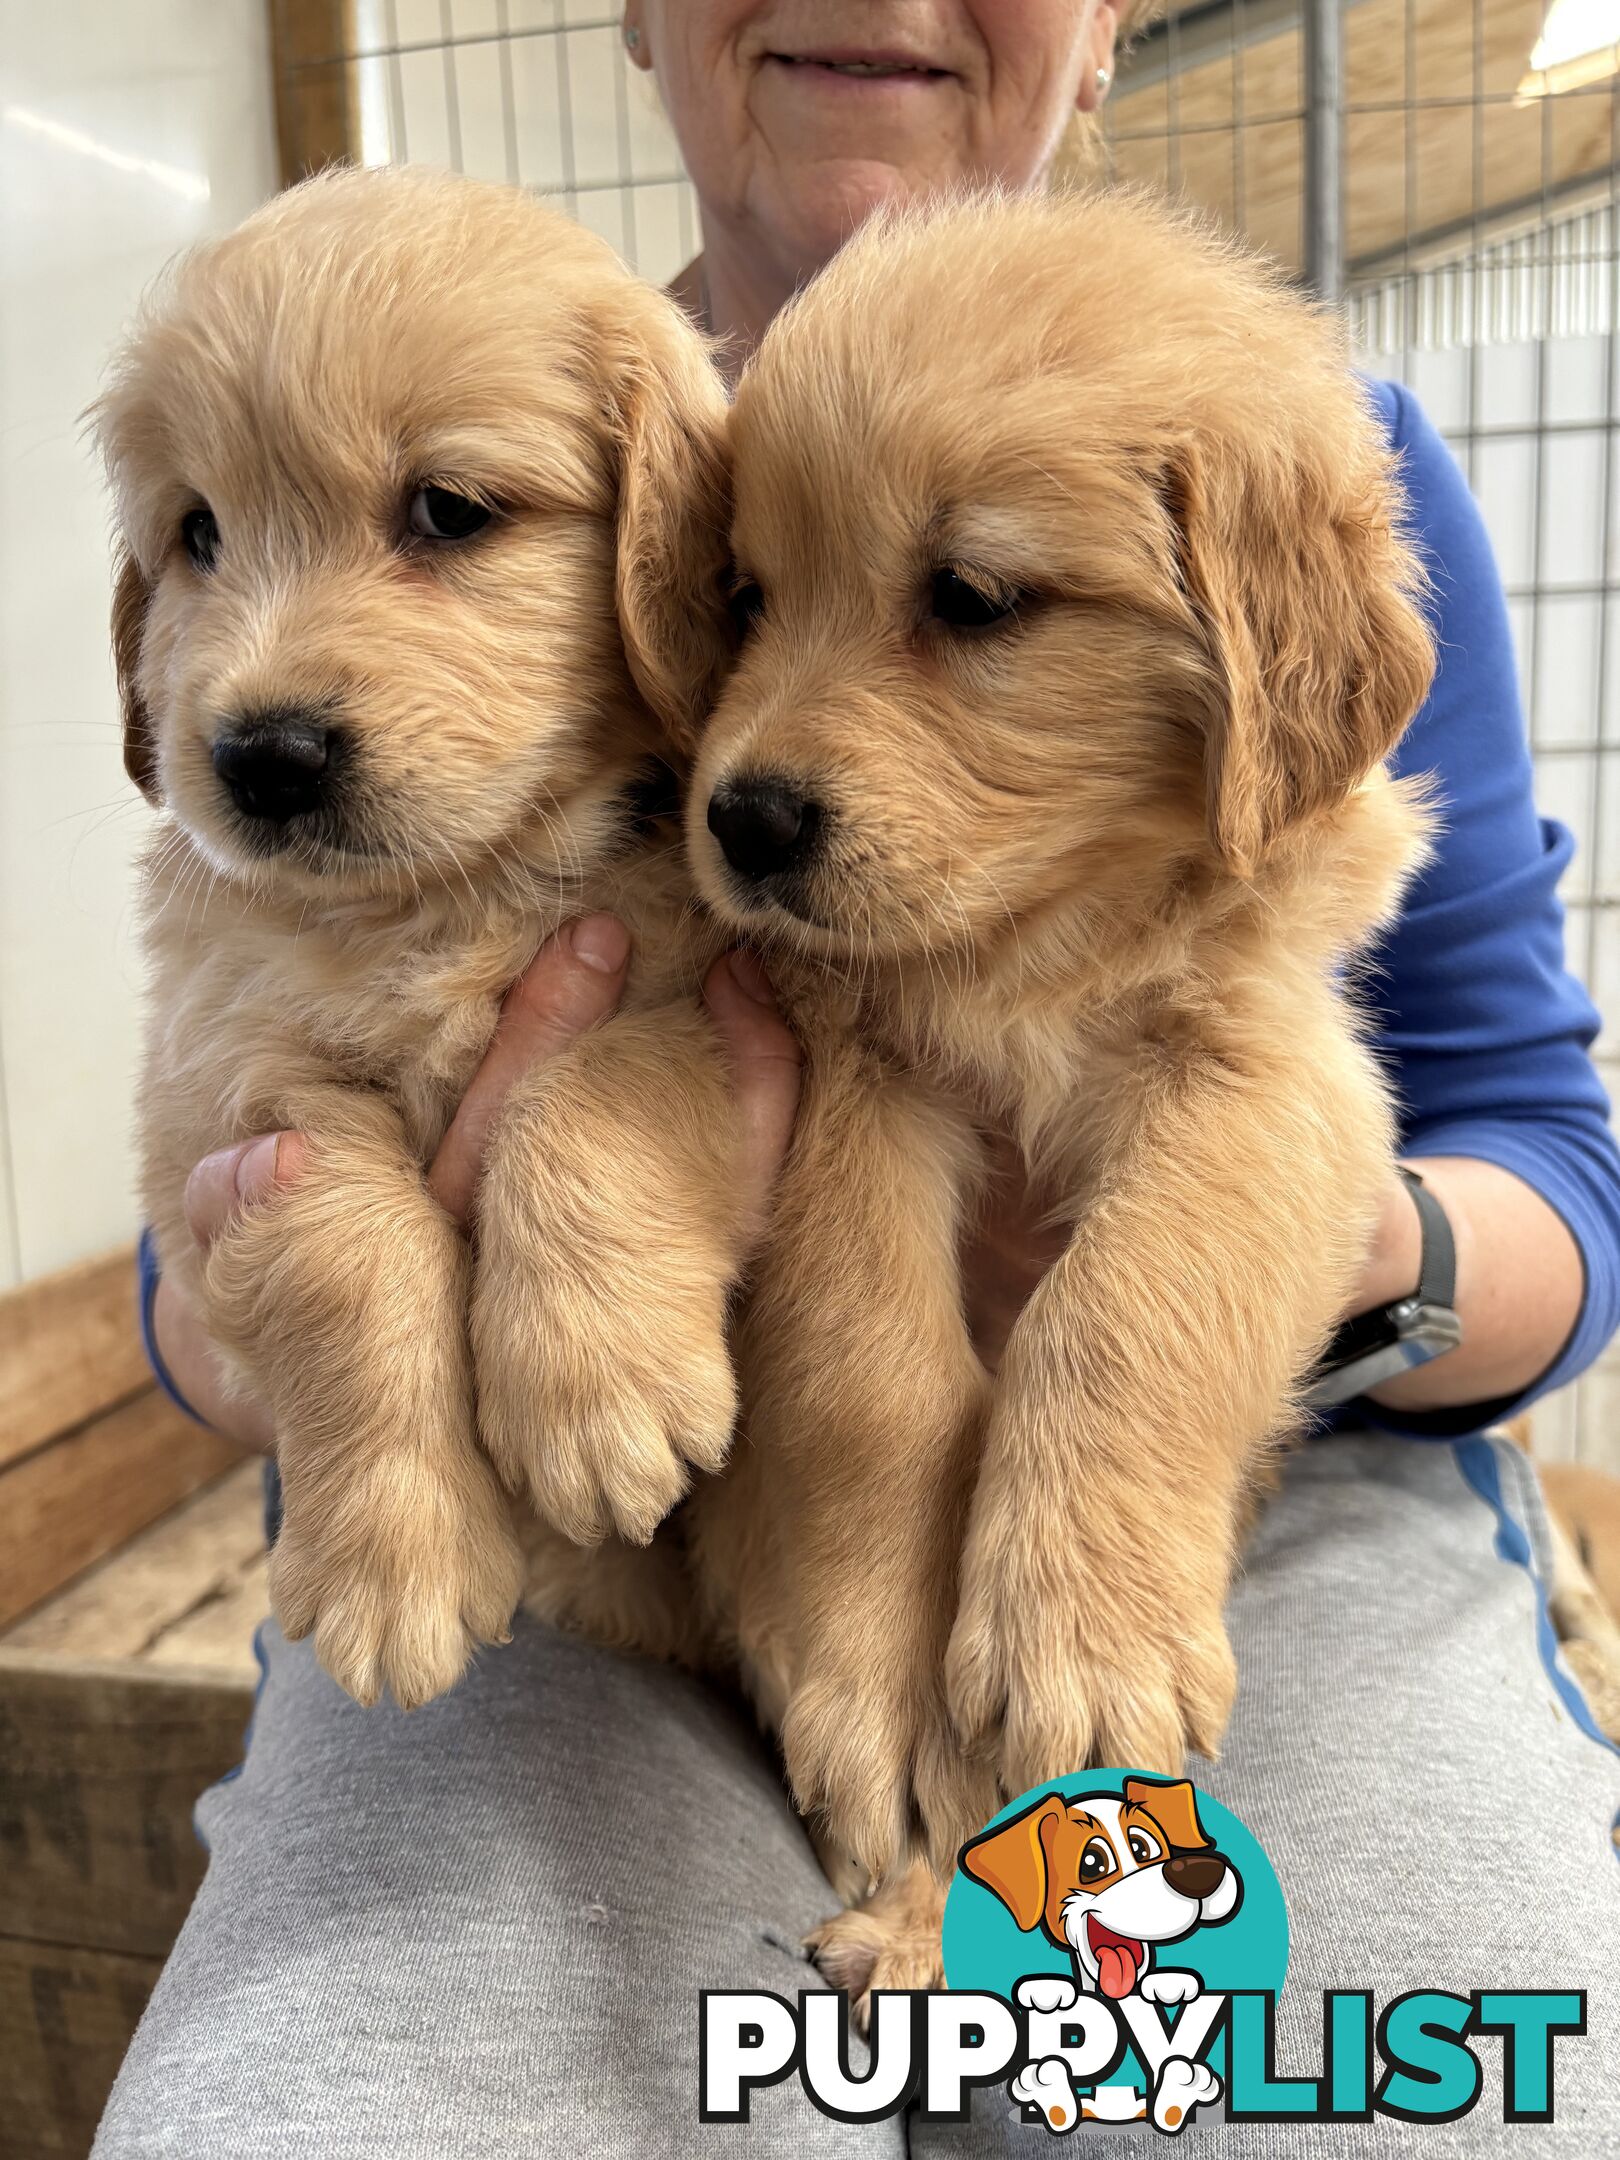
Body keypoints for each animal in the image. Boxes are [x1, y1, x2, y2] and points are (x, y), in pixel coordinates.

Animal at [93, 168, 743, 1710]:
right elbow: (346, 1240)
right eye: (199, 533)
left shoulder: (704, 983)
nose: (260, 758)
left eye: (448, 510)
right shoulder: (223, 1102)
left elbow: (588, 1091)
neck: (451, 894)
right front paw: (396, 1562)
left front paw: (602, 1391)